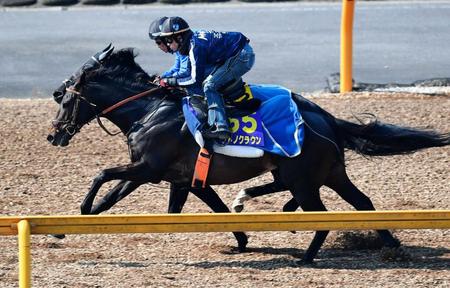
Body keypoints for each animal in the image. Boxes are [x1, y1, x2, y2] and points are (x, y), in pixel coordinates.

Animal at [47, 46, 448, 264]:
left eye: (66, 97)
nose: (54, 134)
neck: (149, 110)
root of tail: (326, 119)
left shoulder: (147, 167)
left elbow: (102, 175)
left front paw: (79, 213)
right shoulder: (172, 175)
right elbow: (116, 199)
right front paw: (67, 228)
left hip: (304, 179)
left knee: (320, 214)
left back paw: (307, 256)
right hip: (329, 173)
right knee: (362, 202)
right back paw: (392, 244)